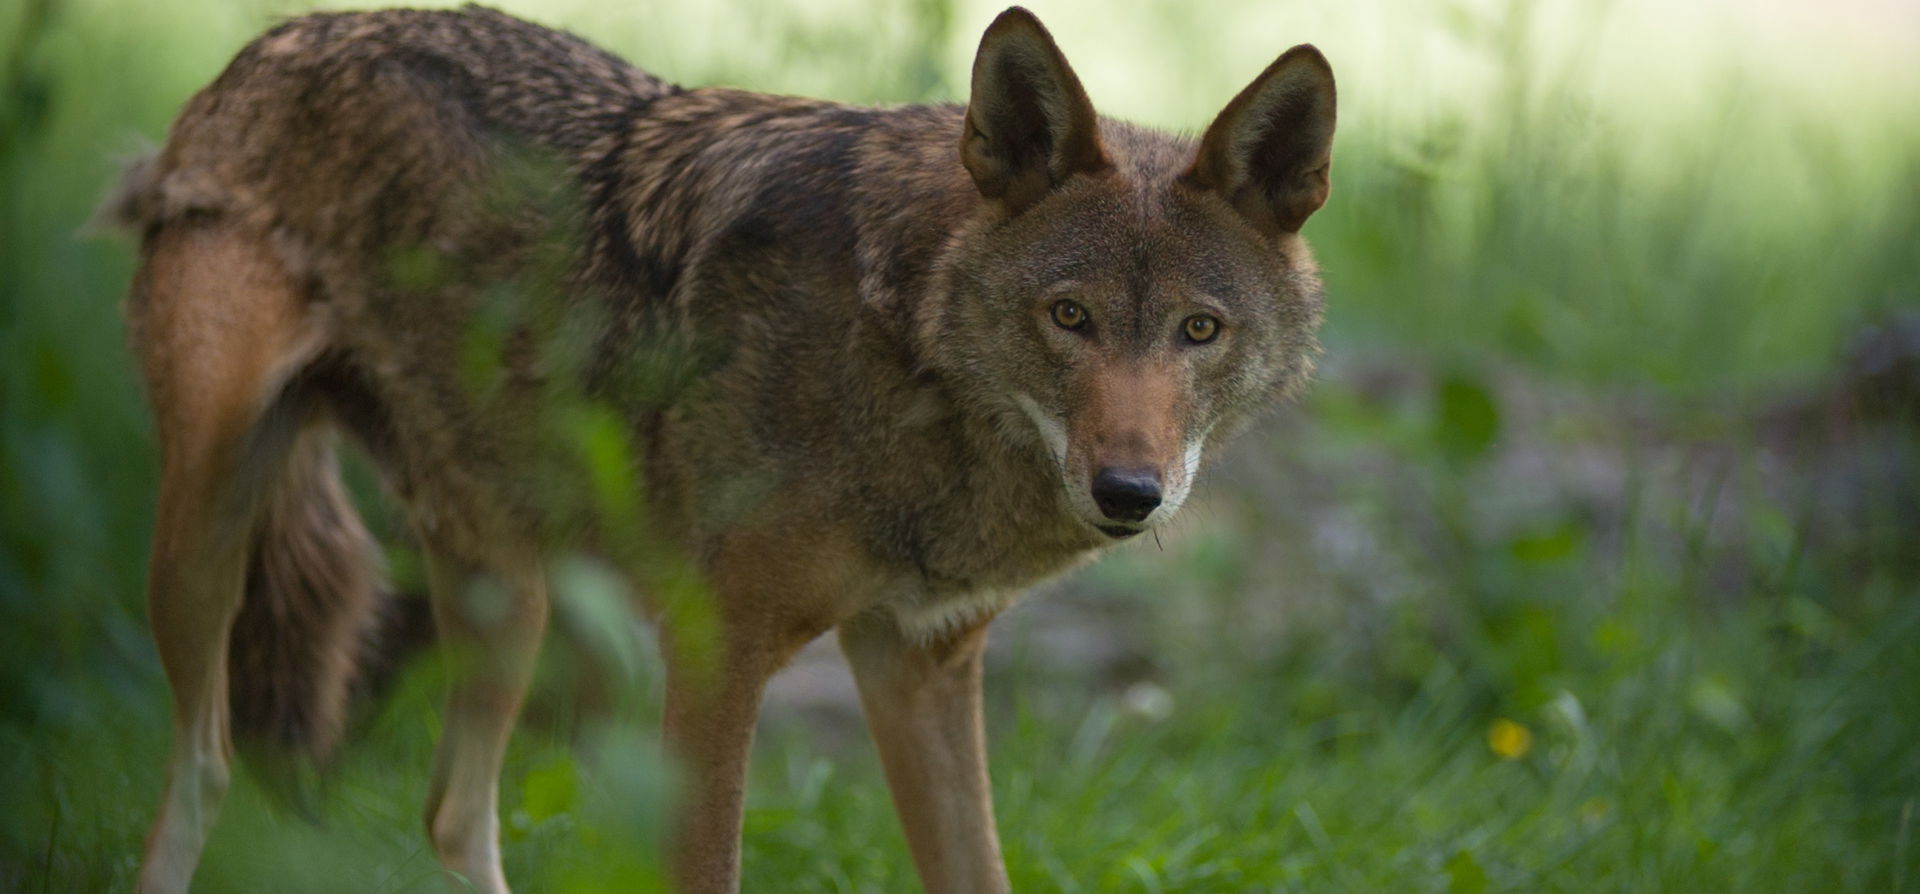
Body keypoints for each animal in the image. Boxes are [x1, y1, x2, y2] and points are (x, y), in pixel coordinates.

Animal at [108, 5, 1336, 886]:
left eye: (1200, 331)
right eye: (1069, 317)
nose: (1129, 491)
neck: (905, 360)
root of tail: (267, 47)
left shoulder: (921, 662)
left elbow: (978, 872)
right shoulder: (715, 650)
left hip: (510, 593)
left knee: (450, 815)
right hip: (205, 539)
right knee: (205, 769)